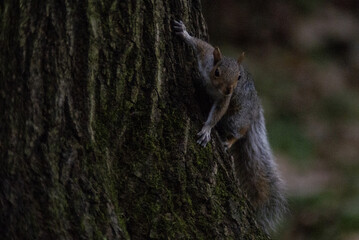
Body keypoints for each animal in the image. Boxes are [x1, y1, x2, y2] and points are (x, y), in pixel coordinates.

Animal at [173, 19, 288, 233]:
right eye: (217, 72)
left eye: (239, 77)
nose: (229, 89)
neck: (213, 85)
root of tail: (254, 109)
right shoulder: (207, 57)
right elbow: (200, 44)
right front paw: (184, 33)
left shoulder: (224, 101)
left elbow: (217, 113)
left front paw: (207, 130)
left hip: (236, 118)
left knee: (241, 132)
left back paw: (229, 141)